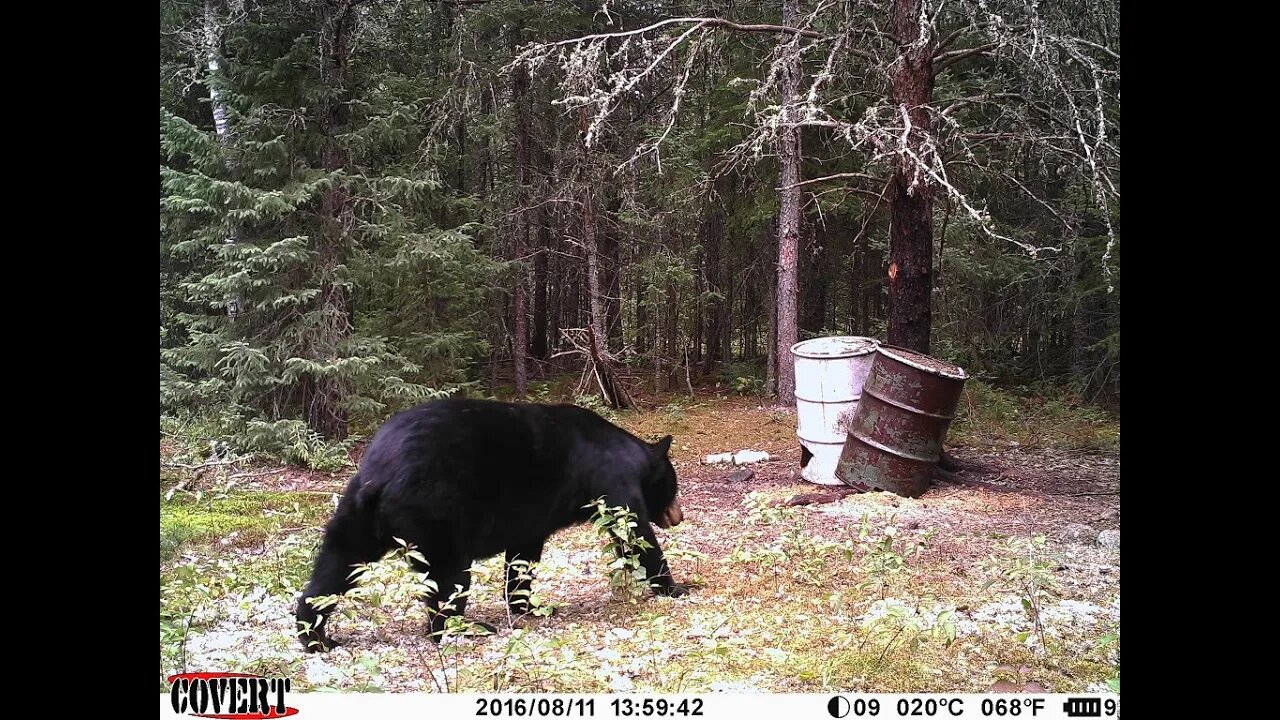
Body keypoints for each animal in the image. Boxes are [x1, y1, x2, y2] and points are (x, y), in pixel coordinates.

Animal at [293, 397, 686, 650]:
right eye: (674, 485)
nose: (678, 516)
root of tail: (381, 472)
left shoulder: (531, 521)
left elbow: (522, 558)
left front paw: (525, 604)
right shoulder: (610, 480)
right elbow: (634, 531)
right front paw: (675, 587)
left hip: (357, 513)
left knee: (336, 564)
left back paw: (315, 635)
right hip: (439, 513)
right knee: (448, 578)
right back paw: (466, 627)